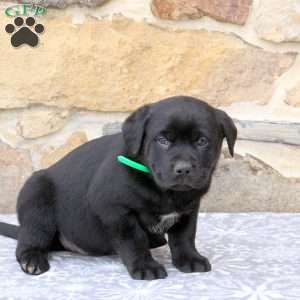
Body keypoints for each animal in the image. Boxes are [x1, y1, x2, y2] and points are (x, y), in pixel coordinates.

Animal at [0, 95, 237, 278]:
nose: (184, 169)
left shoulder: (189, 209)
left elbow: (184, 236)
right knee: (30, 238)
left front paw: (189, 259)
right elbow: (134, 240)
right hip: (36, 198)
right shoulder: (116, 211)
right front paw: (145, 266)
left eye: (202, 141)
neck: (164, 191)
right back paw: (32, 260)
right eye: (163, 140)